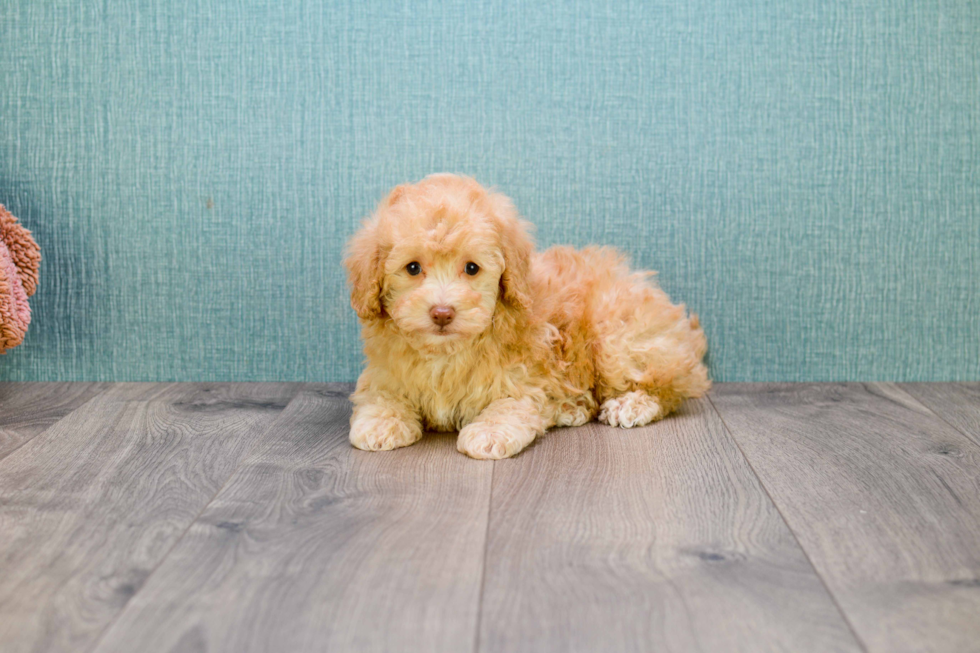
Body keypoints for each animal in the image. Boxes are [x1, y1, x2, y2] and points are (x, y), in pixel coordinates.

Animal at [340, 173, 708, 458]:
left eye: (471, 268)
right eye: (413, 268)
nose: (442, 313)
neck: (446, 353)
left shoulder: (522, 378)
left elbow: (508, 406)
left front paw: (488, 433)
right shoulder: (385, 374)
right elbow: (380, 395)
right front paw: (381, 423)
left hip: (618, 337)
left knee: (670, 387)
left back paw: (632, 404)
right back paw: (570, 409)